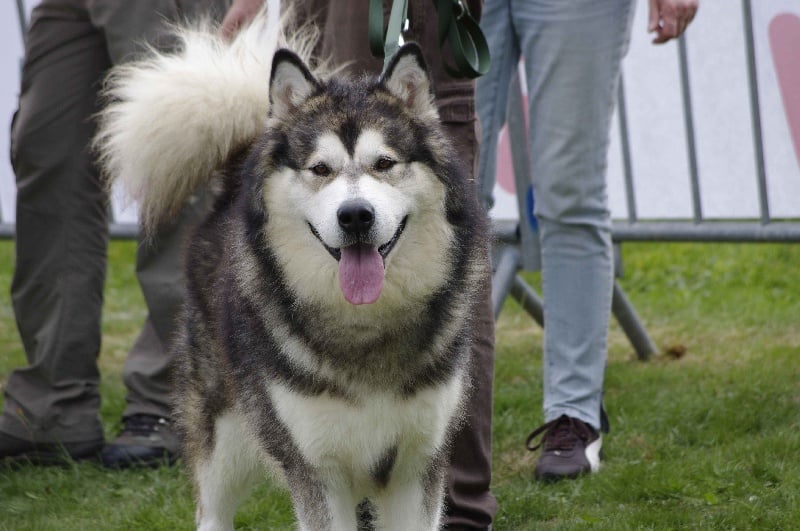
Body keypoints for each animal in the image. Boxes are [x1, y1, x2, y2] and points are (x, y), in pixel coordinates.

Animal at [97, 8, 490, 531]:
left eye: (384, 163)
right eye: (320, 169)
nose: (355, 216)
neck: (366, 329)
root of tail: (233, 184)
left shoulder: (417, 465)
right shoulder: (317, 469)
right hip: (224, 435)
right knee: (212, 508)